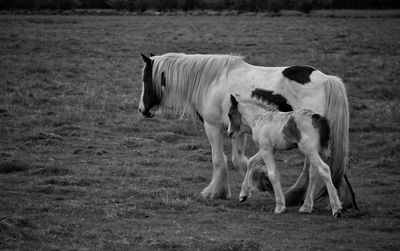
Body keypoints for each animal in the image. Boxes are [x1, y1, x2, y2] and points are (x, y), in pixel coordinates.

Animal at [139, 52, 358, 210]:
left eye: (146, 79)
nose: (142, 110)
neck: (211, 81)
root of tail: (327, 80)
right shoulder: (237, 130)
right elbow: (239, 160)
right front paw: (259, 182)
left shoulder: (212, 127)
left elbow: (219, 160)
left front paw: (214, 192)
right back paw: (342, 201)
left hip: (307, 142)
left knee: (313, 168)